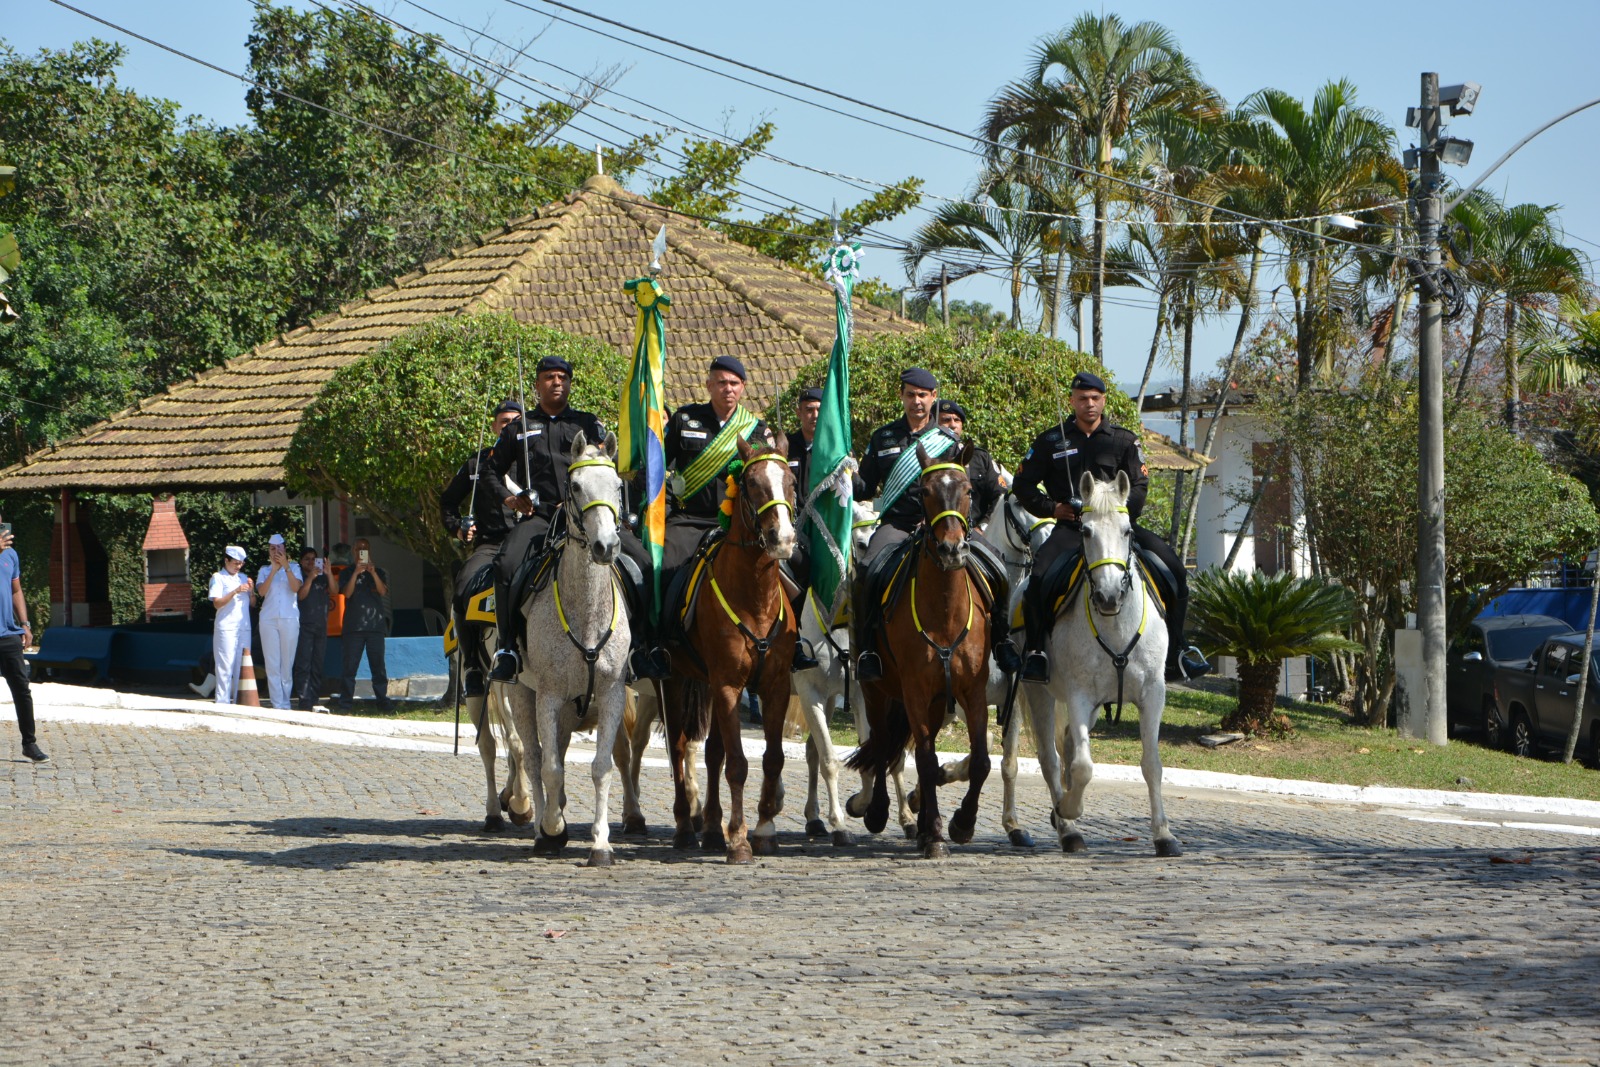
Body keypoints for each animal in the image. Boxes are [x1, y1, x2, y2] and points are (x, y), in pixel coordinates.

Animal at [505, 431, 630, 870]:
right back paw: (543, 825)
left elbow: (601, 767)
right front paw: (552, 827)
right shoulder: (548, 696)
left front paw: (601, 844)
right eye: (575, 487)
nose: (605, 546)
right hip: (519, 694)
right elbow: (551, 768)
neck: (586, 613)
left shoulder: (612, 694)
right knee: (533, 757)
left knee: (553, 750)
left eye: (619, 486)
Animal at [652, 435, 796, 870]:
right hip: (675, 678)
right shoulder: (730, 685)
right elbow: (738, 764)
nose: (782, 538)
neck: (755, 596)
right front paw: (740, 841)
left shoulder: (775, 686)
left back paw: (713, 829)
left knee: (712, 752)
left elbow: (771, 758)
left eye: (791, 481)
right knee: (680, 747)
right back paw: (687, 826)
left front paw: (763, 830)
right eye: (750, 484)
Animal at [844, 441, 992, 857]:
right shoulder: (913, 690)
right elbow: (924, 761)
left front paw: (961, 824)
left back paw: (924, 822)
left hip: (938, 702)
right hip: (876, 689)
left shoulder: (971, 691)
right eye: (924, 491)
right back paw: (881, 811)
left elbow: (980, 761)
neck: (944, 611)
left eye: (969, 490)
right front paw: (938, 834)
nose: (952, 549)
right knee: (881, 744)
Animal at [1036, 470, 1177, 857]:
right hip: (1036, 693)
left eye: (1127, 530)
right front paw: (1069, 809)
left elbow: (1152, 764)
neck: (1115, 625)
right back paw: (1067, 826)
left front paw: (1164, 835)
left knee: (1066, 745)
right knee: (1051, 758)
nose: (1109, 595)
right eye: (1085, 531)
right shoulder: (1078, 695)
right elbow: (1083, 767)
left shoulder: (1152, 694)